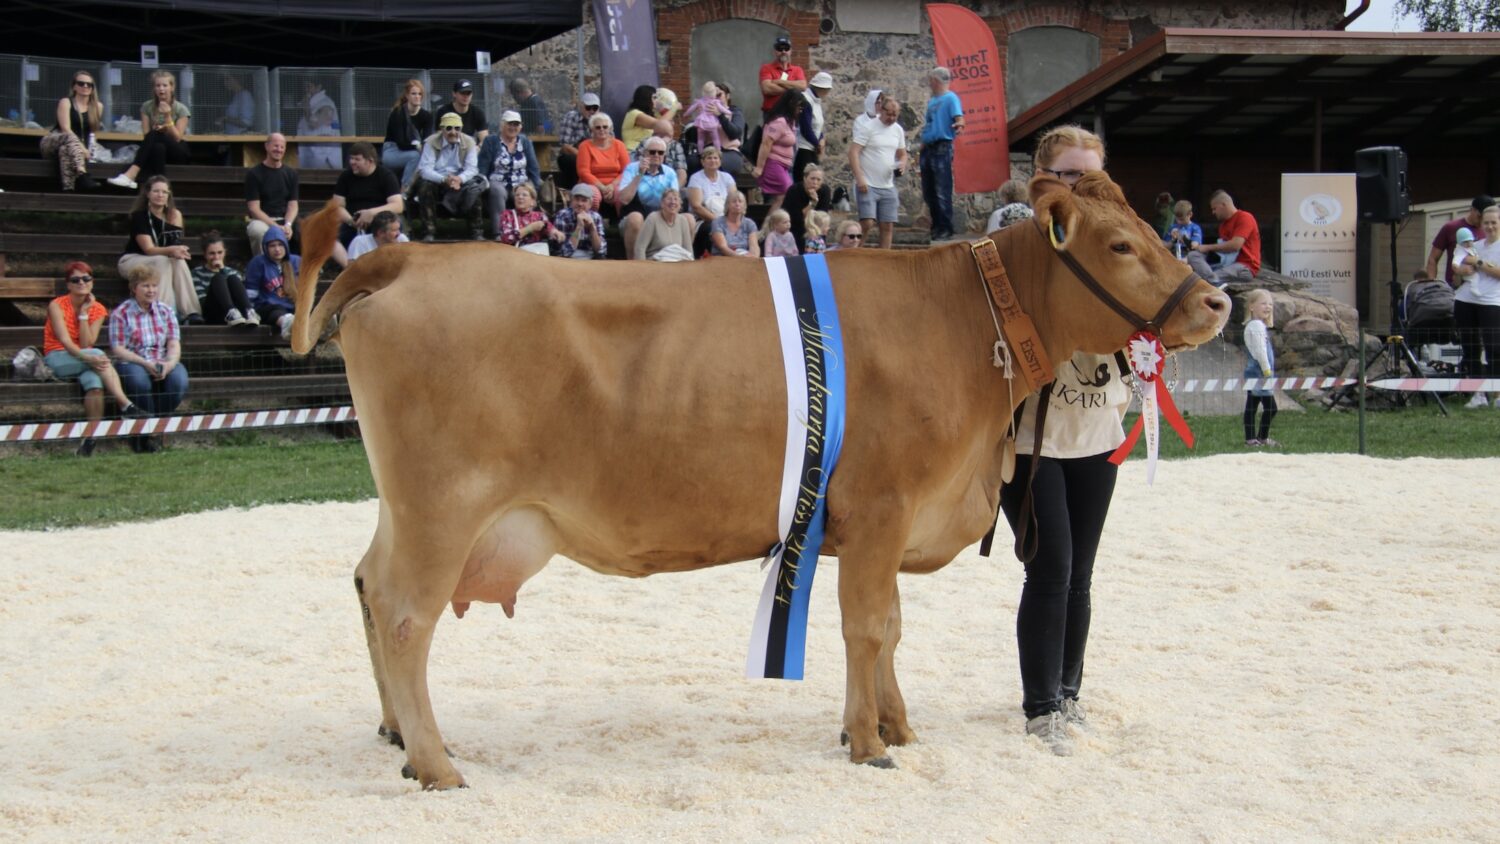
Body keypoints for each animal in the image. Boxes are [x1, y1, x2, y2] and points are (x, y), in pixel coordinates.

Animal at [286, 173, 1224, 791]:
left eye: (1147, 229)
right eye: (1119, 245)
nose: (1214, 303)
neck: (965, 323)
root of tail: (414, 257)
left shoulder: (874, 525)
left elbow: (890, 627)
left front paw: (896, 724)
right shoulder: (883, 507)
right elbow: (870, 627)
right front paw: (869, 743)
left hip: (408, 506)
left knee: (367, 583)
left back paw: (393, 733)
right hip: (443, 505)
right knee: (405, 614)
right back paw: (436, 762)